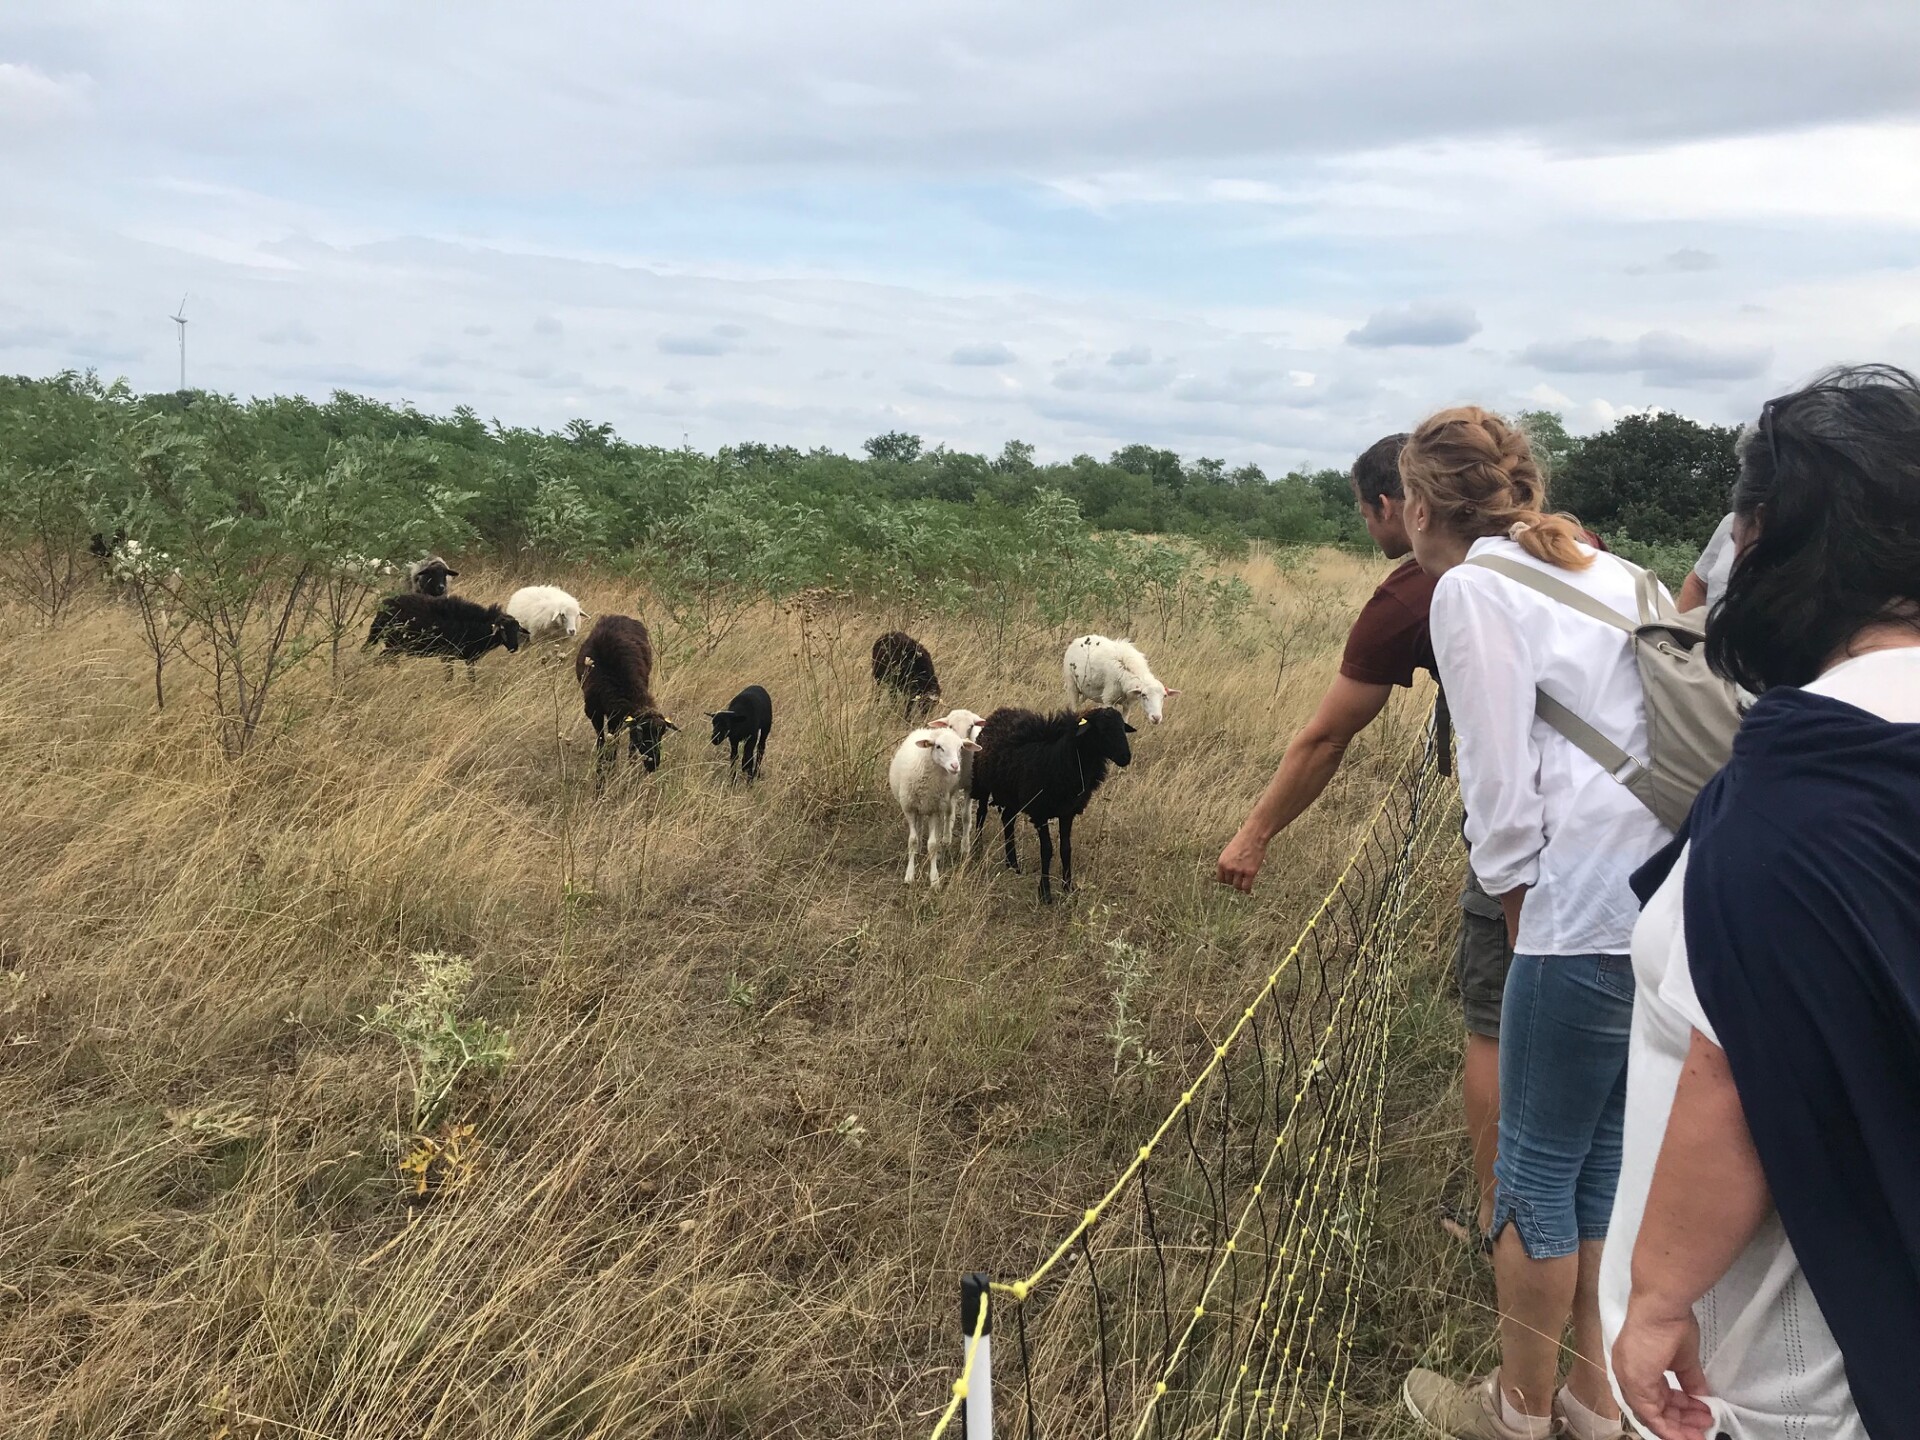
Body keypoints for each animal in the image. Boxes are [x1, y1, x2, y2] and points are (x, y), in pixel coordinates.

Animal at [364, 591, 526, 672]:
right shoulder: (449, 655)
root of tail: (382, 609)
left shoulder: (468, 658)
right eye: (503, 629)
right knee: (382, 659)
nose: (514, 648)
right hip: (394, 644)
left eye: (517, 629)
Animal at [572, 622, 679, 779]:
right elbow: (602, 743)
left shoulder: (615, 717)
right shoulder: (595, 714)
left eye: (662, 733)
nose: (653, 765)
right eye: (640, 734)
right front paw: (601, 776)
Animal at [883, 725, 975, 887]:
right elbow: (912, 841)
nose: (955, 766)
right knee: (918, 827)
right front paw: (909, 875)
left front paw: (934, 879)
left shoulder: (935, 810)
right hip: (916, 806)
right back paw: (919, 847)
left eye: (960, 748)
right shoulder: (909, 809)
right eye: (938, 746)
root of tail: (924, 730)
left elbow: (932, 845)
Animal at [929, 710, 990, 856]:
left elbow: (966, 817)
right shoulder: (951, 788)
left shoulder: (970, 788)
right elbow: (948, 811)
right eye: (951, 726)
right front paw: (946, 839)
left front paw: (965, 847)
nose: (962, 743)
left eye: (971, 726)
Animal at [967, 702, 1128, 902]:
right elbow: (1047, 850)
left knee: (1007, 820)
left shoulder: (1067, 811)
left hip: (1013, 794)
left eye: (1123, 728)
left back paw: (1013, 864)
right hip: (982, 783)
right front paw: (1045, 893)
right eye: (1102, 729)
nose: (1126, 757)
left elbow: (1066, 849)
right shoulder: (1040, 812)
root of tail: (999, 712)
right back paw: (977, 851)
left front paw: (1068, 887)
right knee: (981, 814)